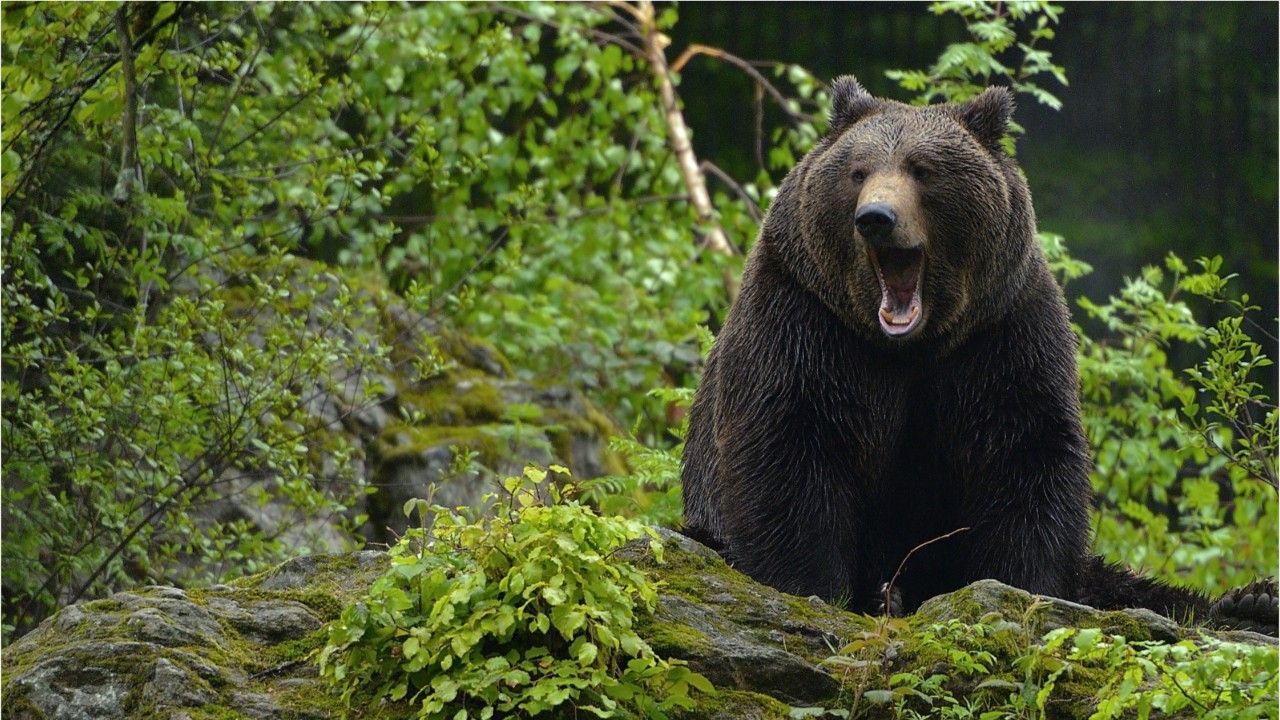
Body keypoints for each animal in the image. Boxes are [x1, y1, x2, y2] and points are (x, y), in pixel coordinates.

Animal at [681, 75, 1277, 635]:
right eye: (857, 170)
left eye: (922, 169)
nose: (875, 216)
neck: (910, 348)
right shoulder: (805, 317)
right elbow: (789, 441)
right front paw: (819, 588)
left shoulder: (1001, 334)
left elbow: (1024, 453)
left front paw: (1018, 587)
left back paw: (1249, 601)